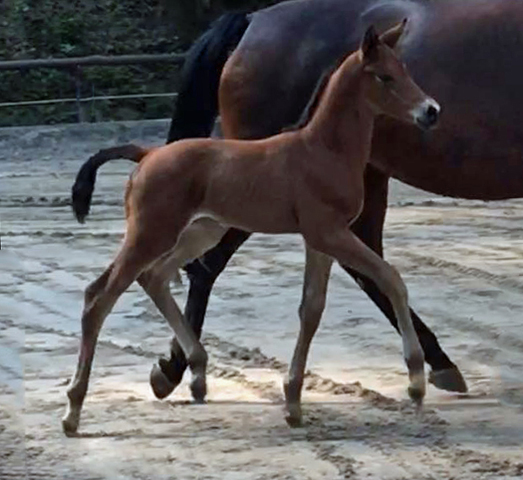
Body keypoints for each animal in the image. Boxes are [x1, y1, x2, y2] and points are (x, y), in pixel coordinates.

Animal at [64, 22, 442, 436]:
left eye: (405, 70)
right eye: (384, 76)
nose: (430, 111)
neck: (323, 151)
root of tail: (147, 154)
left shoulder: (320, 239)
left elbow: (312, 308)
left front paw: (293, 402)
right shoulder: (330, 233)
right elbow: (391, 278)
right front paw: (416, 381)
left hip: (202, 231)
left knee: (153, 278)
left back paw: (197, 371)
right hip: (151, 233)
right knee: (98, 297)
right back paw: (73, 410)